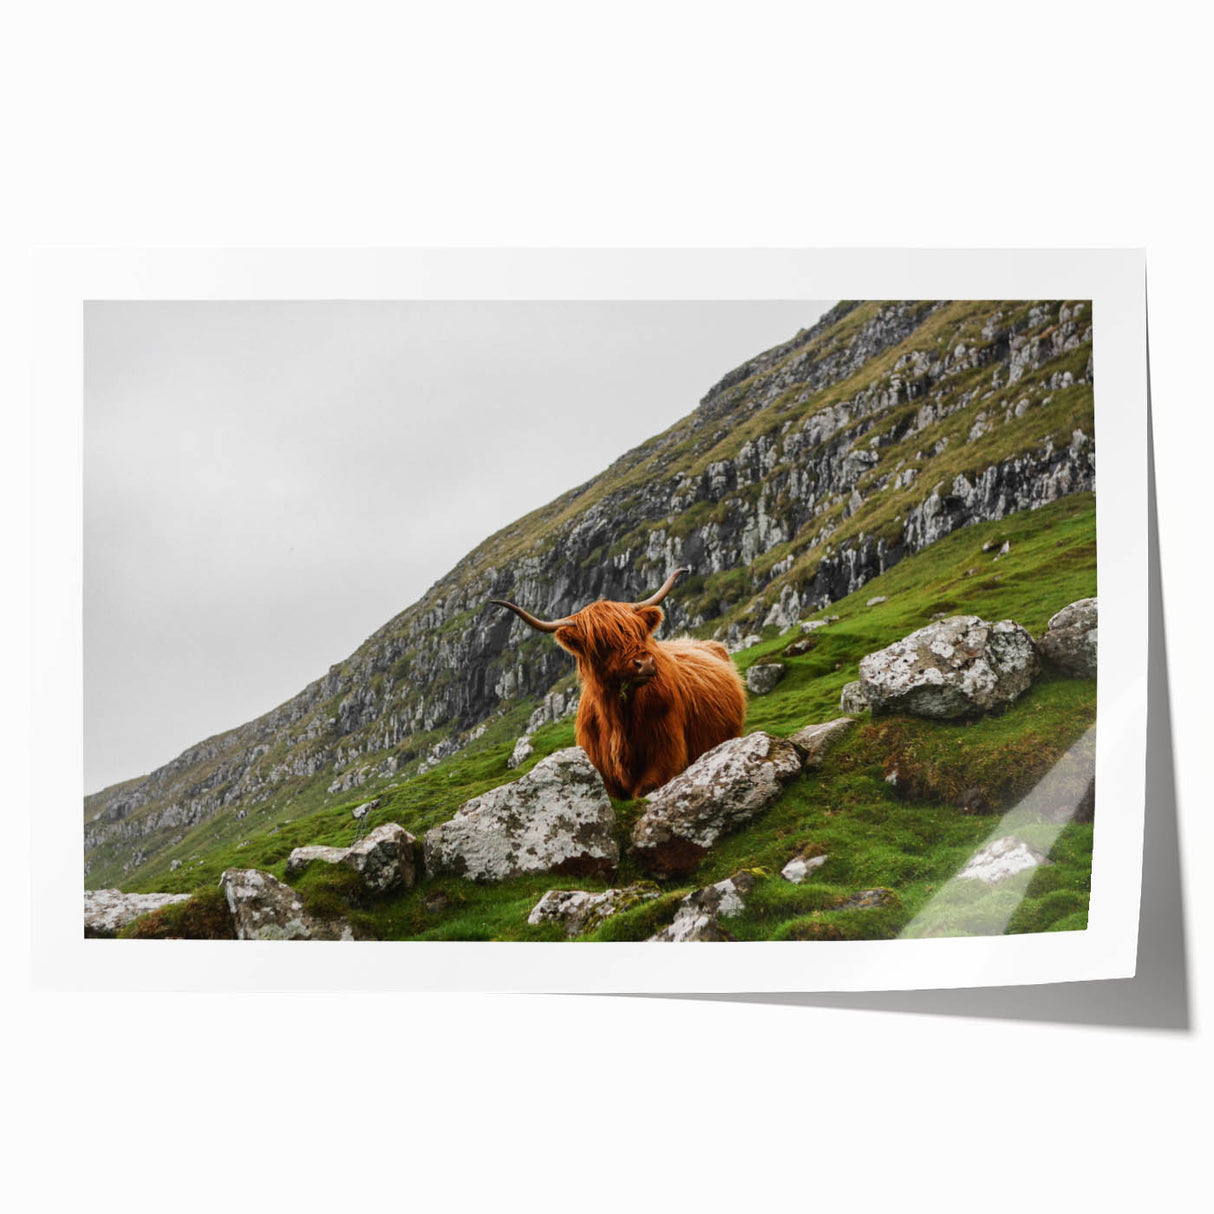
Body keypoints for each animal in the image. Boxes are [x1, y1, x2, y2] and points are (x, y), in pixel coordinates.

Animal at [491, 567, 746, 799]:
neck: (618, 720)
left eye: (638, 632)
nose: (645, 663)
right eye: (601, 643)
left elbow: (644, 789)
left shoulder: (666, 757)